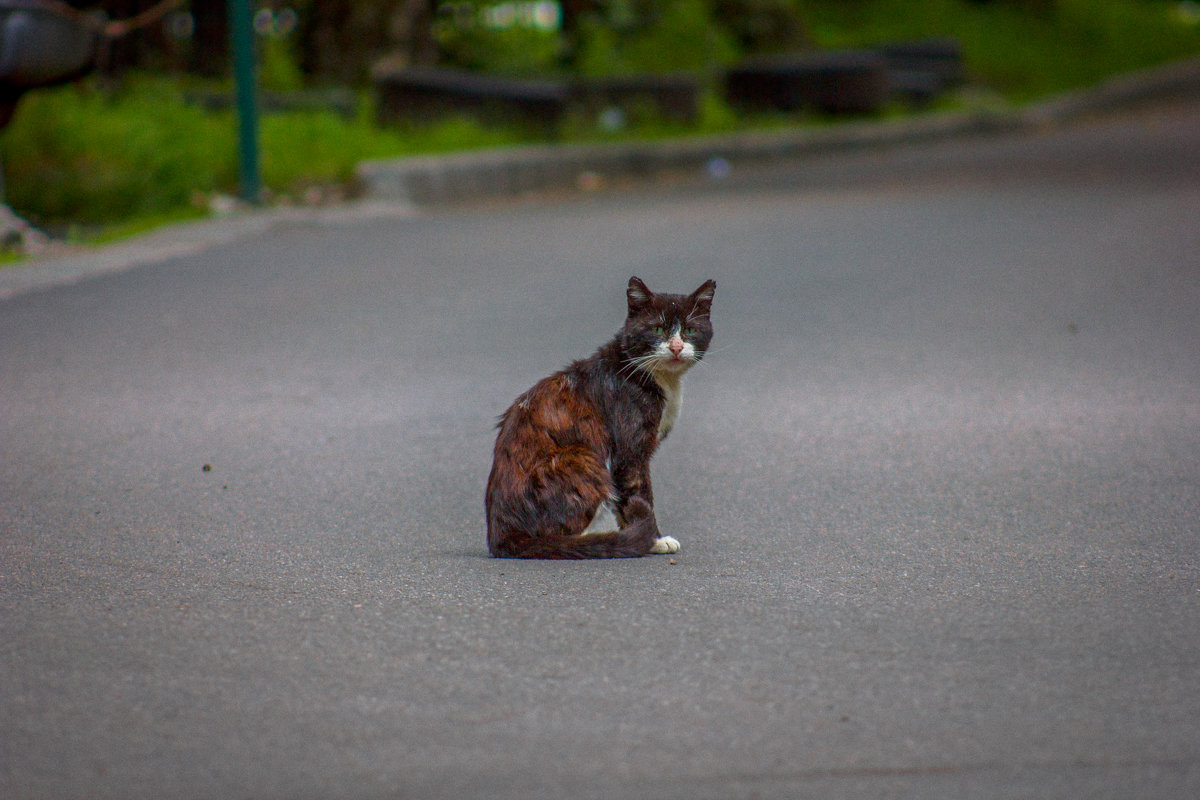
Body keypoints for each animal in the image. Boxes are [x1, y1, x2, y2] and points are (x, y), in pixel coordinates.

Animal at [484, 278, 710, 561]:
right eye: (657, 328)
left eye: (690, 330)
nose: (677, 347)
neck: (663, 382)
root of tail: (499, 536)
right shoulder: (630, 451)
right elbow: (639, 492)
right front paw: (655, 540)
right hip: (581, 457)